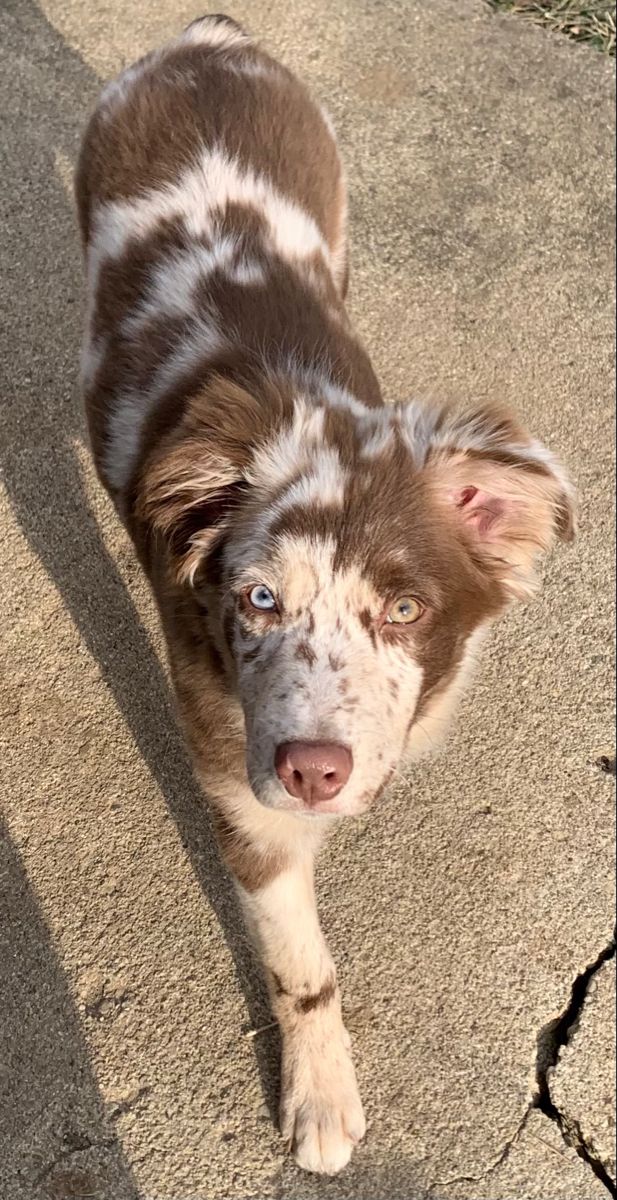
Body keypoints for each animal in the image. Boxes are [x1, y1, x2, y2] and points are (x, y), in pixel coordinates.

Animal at [74, 14, 573, 1176]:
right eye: (256, 601)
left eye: (404, 611)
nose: (314, 771)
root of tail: (206, 40)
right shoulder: (240, 794)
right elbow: (301, 965)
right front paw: (319, 1100)